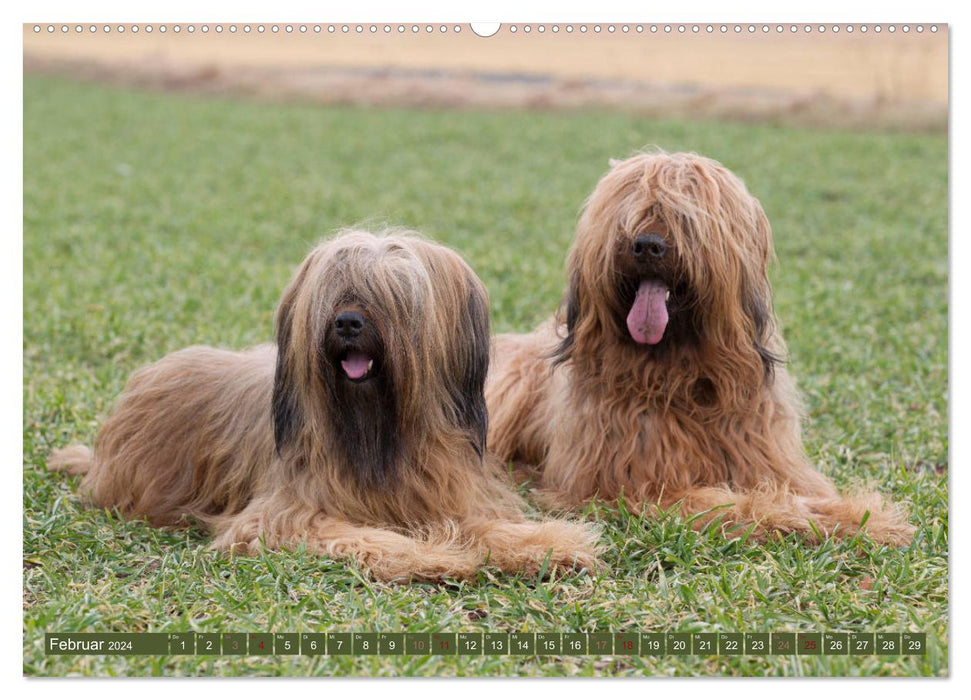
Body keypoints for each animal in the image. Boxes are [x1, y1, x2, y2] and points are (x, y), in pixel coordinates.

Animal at [53, 230, 604, 580]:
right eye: (336, 287)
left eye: (394, 292)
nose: (347, 322)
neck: (377, 430)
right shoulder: (282, 515)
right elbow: (358, 536)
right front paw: (434, 557)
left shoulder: (449, 493)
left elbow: (488, 526)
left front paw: (551, 546)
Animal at [490, 153, 916, 548]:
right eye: (630, 214)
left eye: (684, 218)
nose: (647, 245)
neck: (685, 379)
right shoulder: (640, 486)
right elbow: (737, 503)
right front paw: (800, 516)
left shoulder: (767, 456)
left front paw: (861, 516)